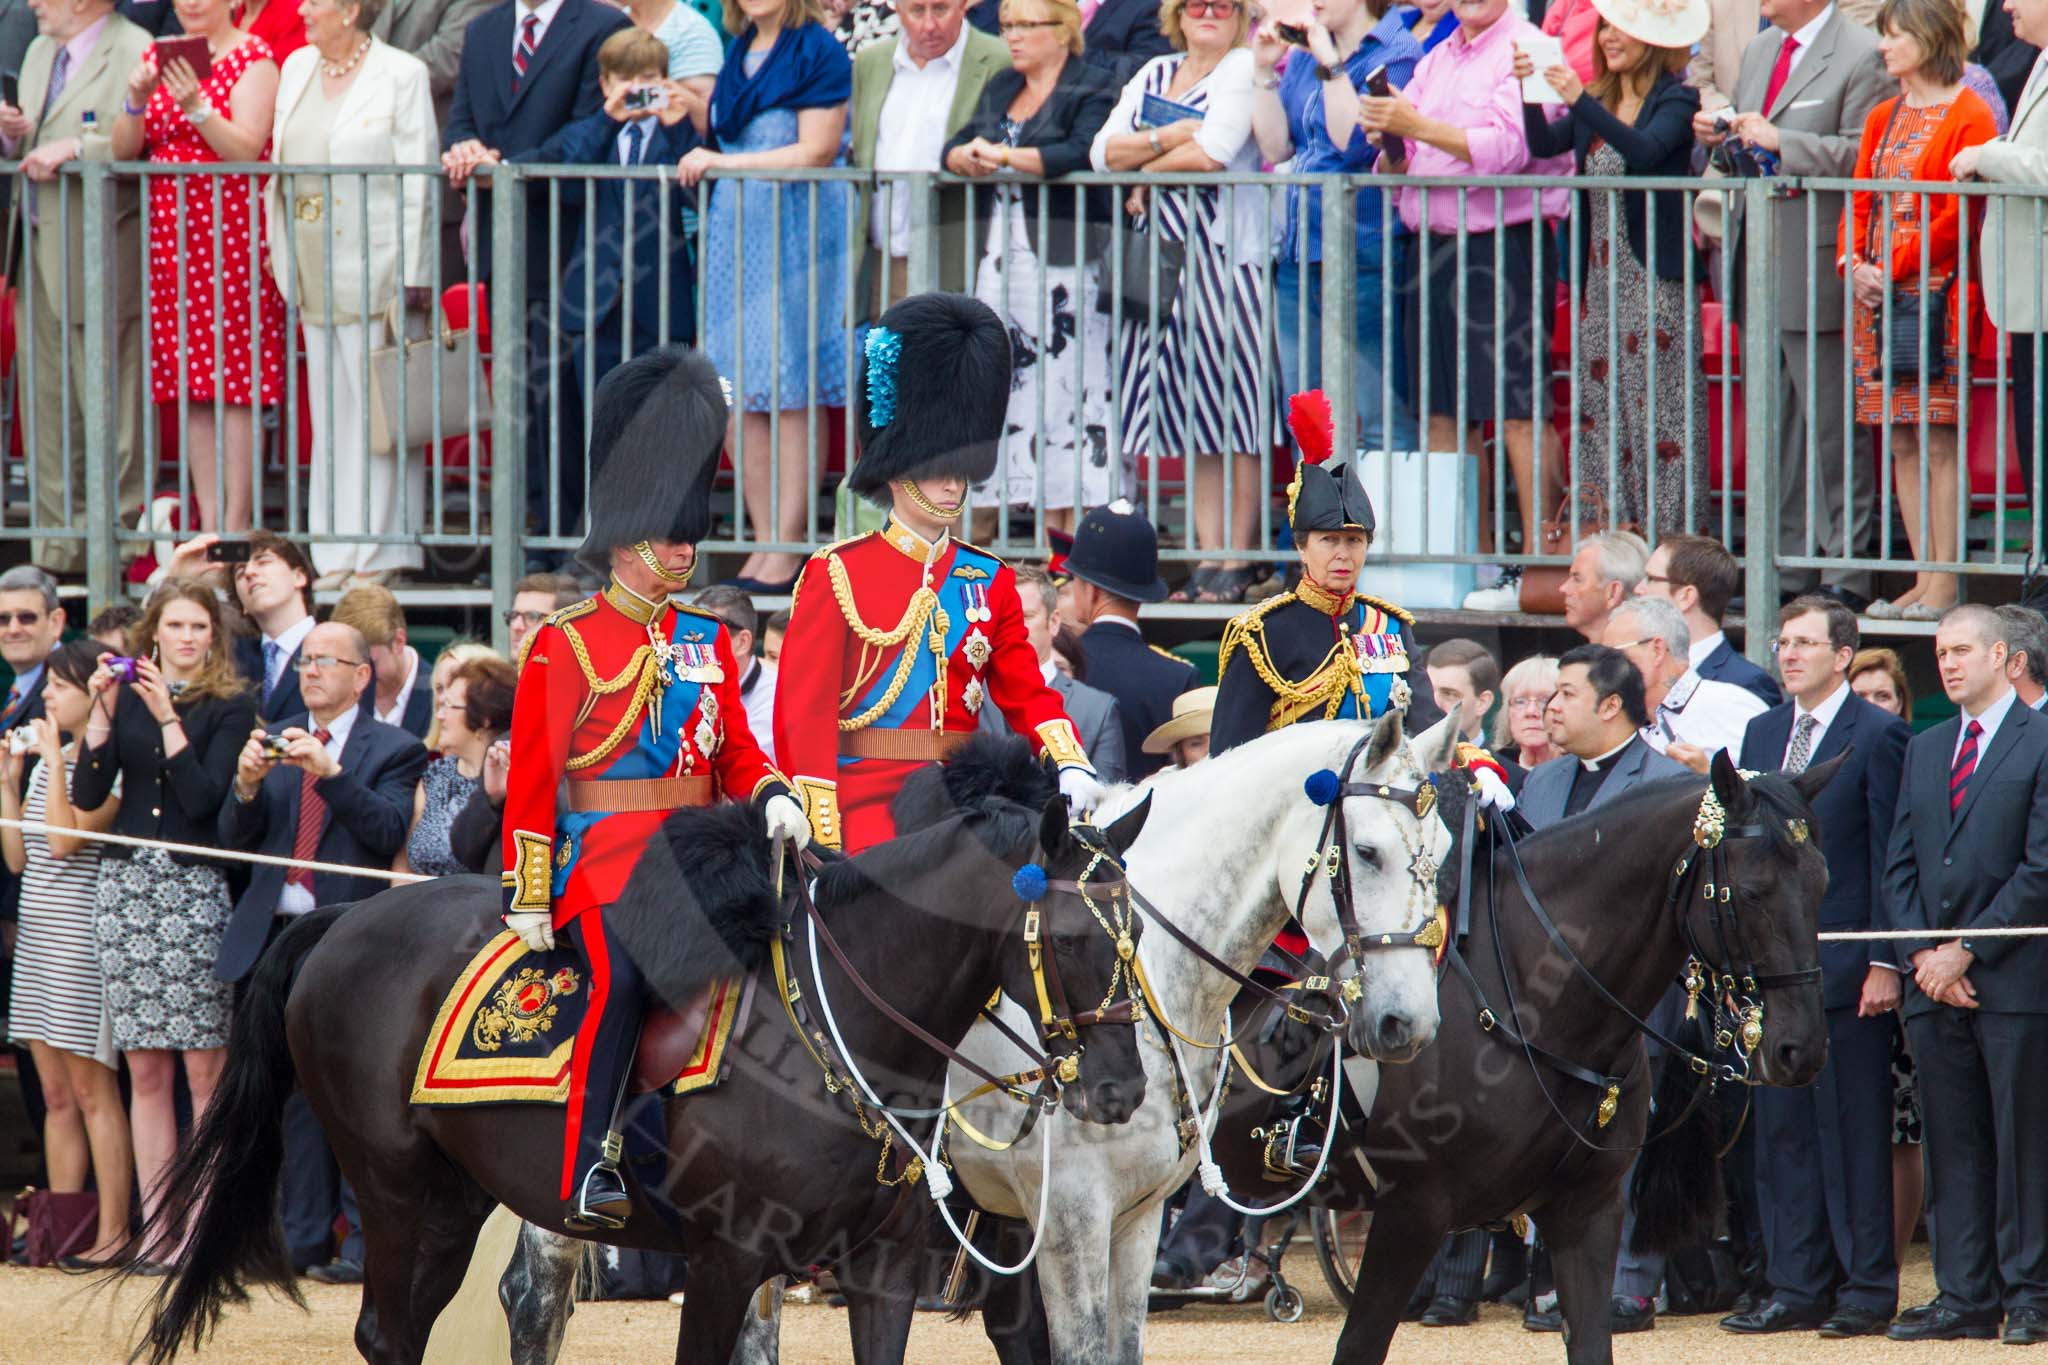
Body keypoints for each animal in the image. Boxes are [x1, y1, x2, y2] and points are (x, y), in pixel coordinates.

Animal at [128, 740, 1155, 1365]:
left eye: (1138, 929)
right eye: (1073, 936)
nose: (1121, 1090)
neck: (843, 1030)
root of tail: (345, 918)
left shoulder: (883, 1273)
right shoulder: (726, 1259)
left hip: (454, 1197)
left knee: (411, 1326)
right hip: (388, 1185)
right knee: (390, 1330)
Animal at [1212, 757, 1843, 1365]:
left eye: (1822, 884)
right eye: (1753, 891)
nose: (1801, 1049)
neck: (1527, 1000)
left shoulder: (1587, 1213)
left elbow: (1590, 1345)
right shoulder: (1410, 1213)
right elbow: (1359, 1347)